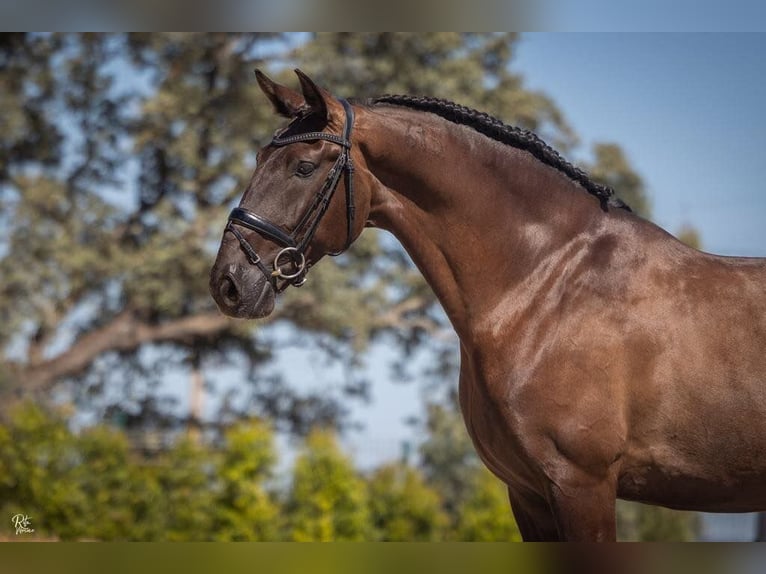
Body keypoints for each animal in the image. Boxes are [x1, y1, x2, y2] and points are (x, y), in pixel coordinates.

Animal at [210, 70, 766, 544]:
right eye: (258, 158)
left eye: (304, 167)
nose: (228, 284)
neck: (546, 284)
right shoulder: (529, 494)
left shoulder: (581, 485)